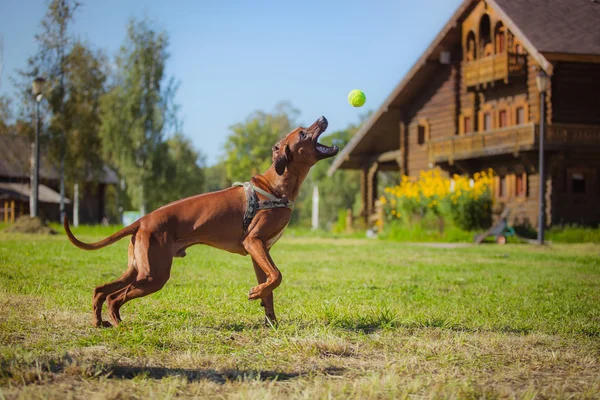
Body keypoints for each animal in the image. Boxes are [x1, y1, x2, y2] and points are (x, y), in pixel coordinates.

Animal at [66, 115, 340, 328]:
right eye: (303, 132)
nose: (323, 117)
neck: (274, 187)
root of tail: (143, 219)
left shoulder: (260, 252)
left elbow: (270, 285)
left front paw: (271, 322)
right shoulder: (254, 242)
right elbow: (278, 276)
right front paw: (256, 295)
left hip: (138, 269)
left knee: (101, 290)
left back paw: (100, 322)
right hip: (155, 275)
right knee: (115, 297)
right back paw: (118, 324)